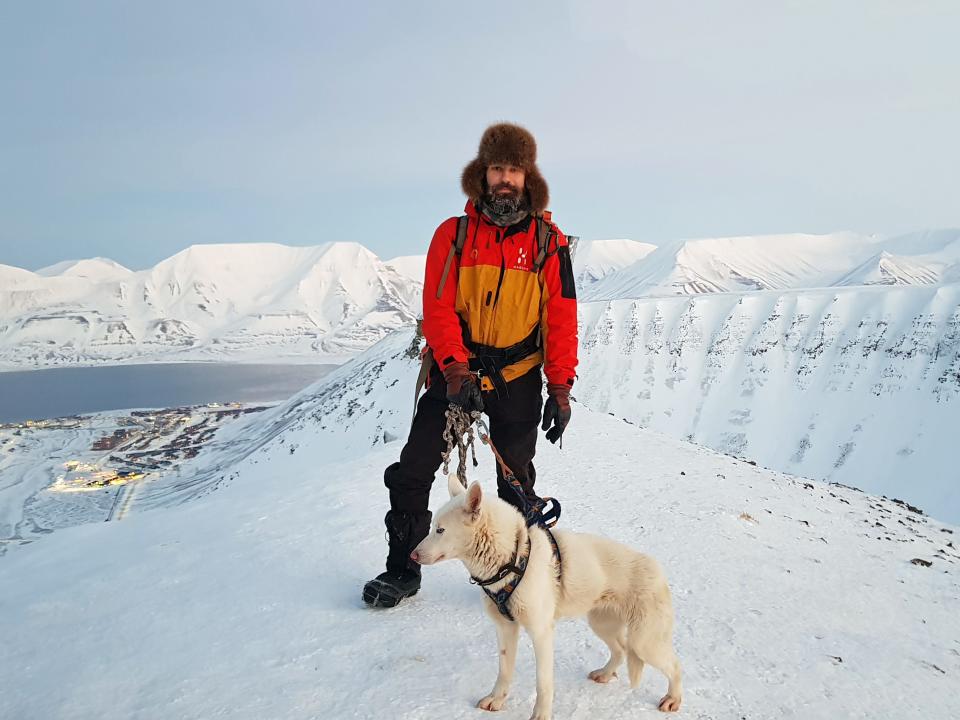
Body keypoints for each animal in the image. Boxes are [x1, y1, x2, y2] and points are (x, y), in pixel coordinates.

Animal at [412, 476, 684, 716]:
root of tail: (657, 570)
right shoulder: (506, 629)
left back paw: (673, 698)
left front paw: (541, 714)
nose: (412, 555)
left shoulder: (541, 633)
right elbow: (504, 671)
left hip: (645, 641)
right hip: (603, 624)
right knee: (621, 649)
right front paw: (497, 699)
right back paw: (605, 674)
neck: (513, 559)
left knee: (674, 665)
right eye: (433, 527)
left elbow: (543, 683)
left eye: (440, 530)